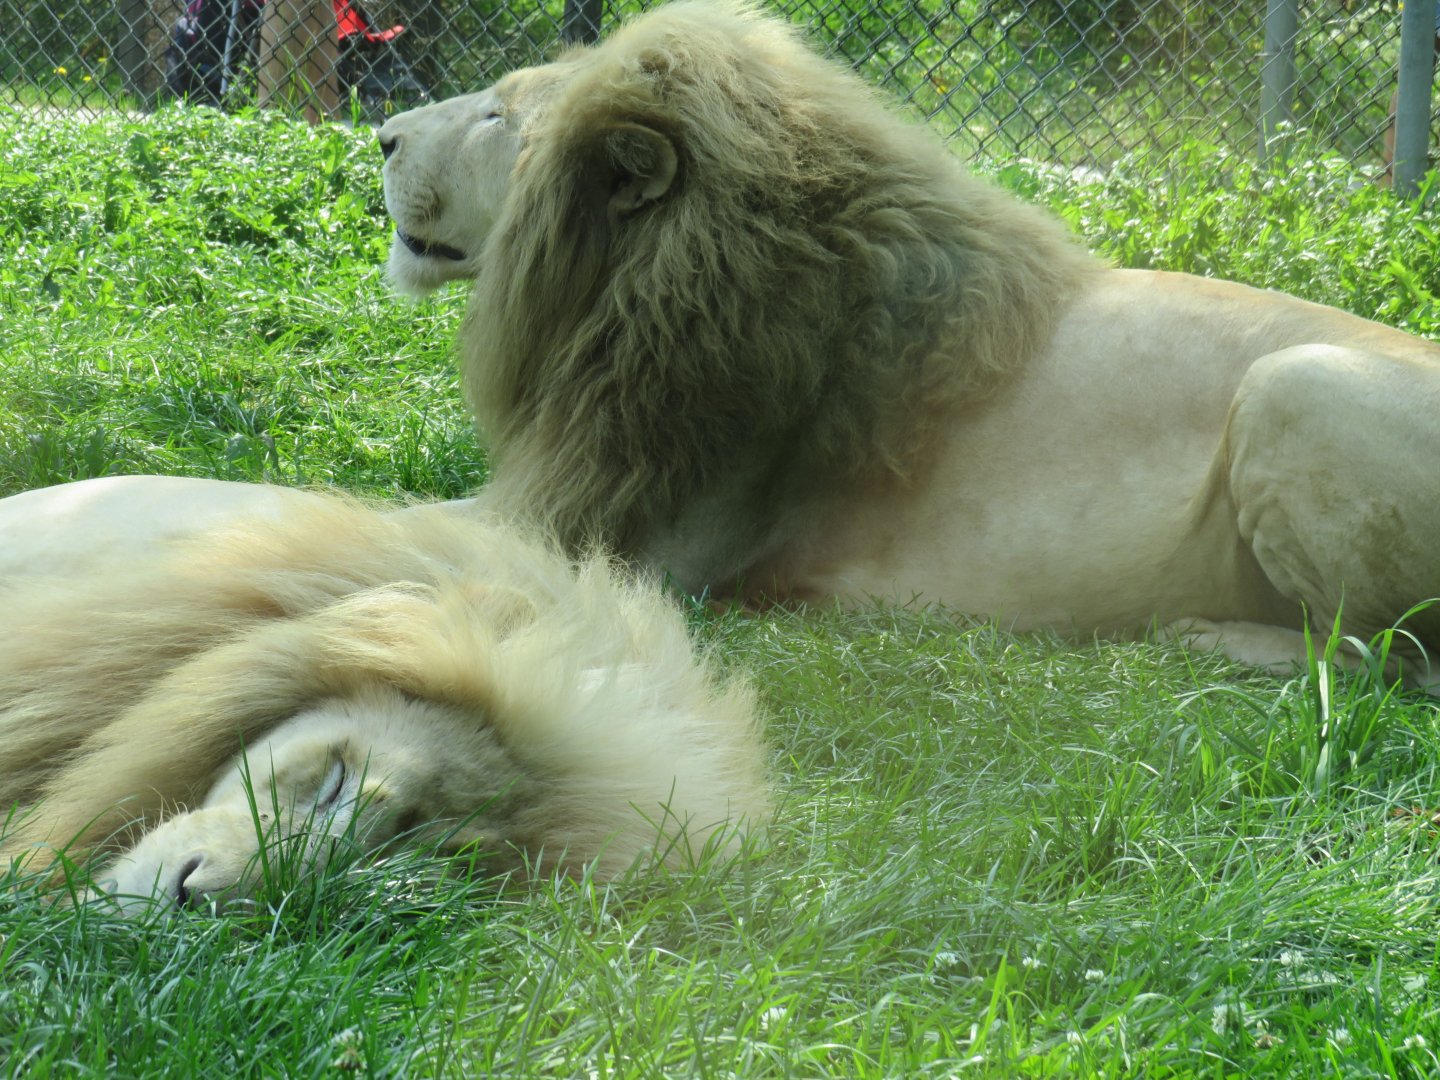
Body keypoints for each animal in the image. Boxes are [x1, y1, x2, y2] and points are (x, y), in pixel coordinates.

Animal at [376, 0, 1440, 677]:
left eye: (494, 115)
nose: (381, 135)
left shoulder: (630, 535)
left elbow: (379, 519)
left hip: (1293, 384)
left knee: (1387, 661)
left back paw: (1215, 640)